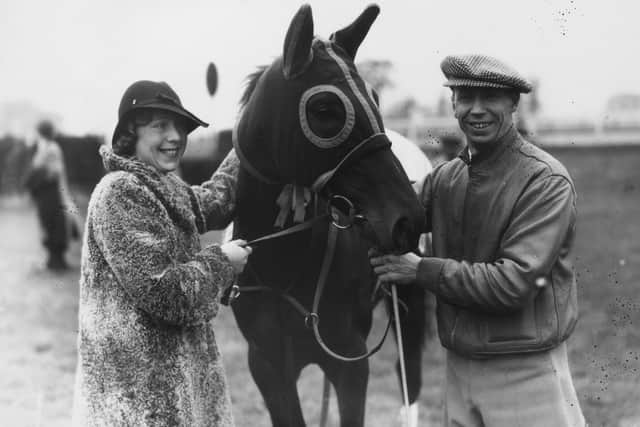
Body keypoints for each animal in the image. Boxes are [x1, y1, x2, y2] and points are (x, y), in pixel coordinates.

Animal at [228, 4, 432, 427]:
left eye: (375, 96)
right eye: (325, 109)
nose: (409, 218)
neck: (284, 269)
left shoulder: (351, 362)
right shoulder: (269, 368)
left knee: (410, 379)